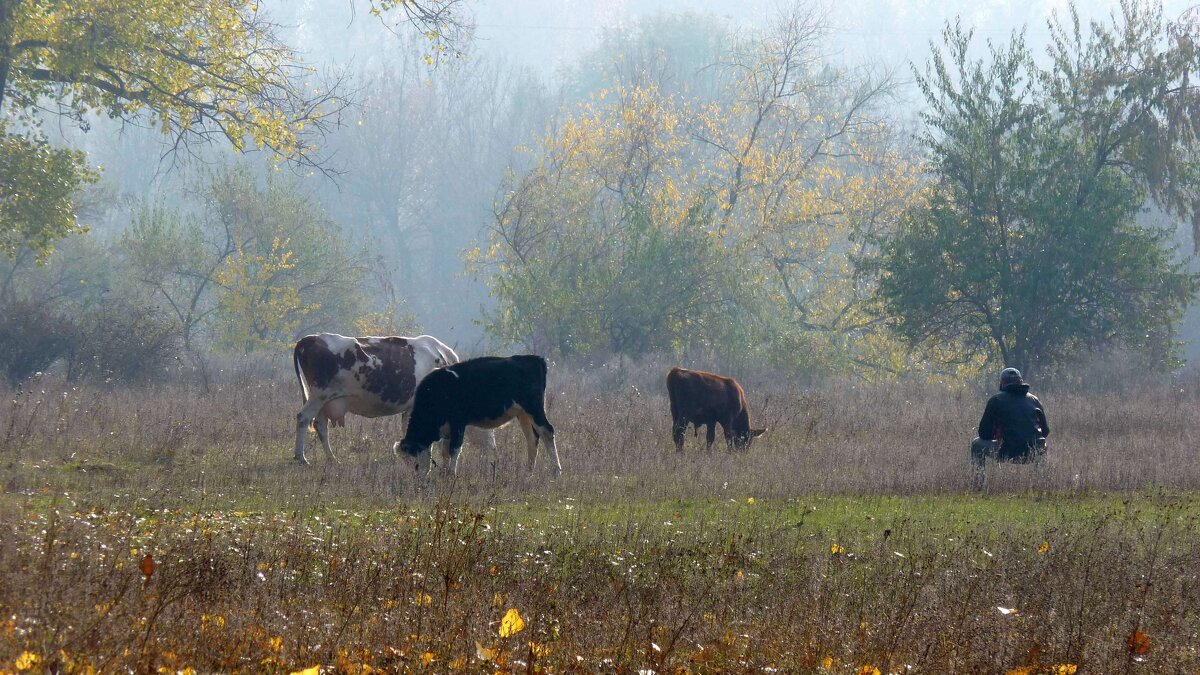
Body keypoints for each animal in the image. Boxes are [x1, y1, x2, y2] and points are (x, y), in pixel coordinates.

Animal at [292, 331, 494, 461]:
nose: (493, 447)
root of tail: (311, 338)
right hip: (319, 395)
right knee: (303, 418)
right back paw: (301, 458)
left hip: (323, 401)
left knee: (320, 425)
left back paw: (331, 458)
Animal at [396, 355, 559, 475]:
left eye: (415, 464)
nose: (418, 481)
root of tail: (534, 359)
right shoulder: (448, 430)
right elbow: (445, 452)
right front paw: (444, 473)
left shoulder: (458, 422)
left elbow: (454, 449)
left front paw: (451, 475)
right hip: (523, 413)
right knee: (532, 438)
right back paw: (529, 472)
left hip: (534, 408)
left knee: (547, 431)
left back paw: (556, 472)